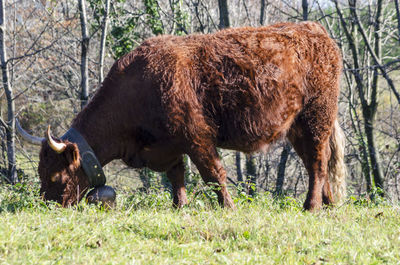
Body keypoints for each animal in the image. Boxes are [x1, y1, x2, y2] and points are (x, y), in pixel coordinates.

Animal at [20, 20, 346, 210]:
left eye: (55, 175)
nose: (46, 205)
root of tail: (315, 30)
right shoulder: (169, 146)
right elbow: (176, 177)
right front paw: (179, 207)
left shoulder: (197, 137)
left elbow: (213, 174)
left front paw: (228, 208)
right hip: (298, 127)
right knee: (317, 162)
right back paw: (329, 204)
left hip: (316, 118)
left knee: (318, 162)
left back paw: (311, 206)